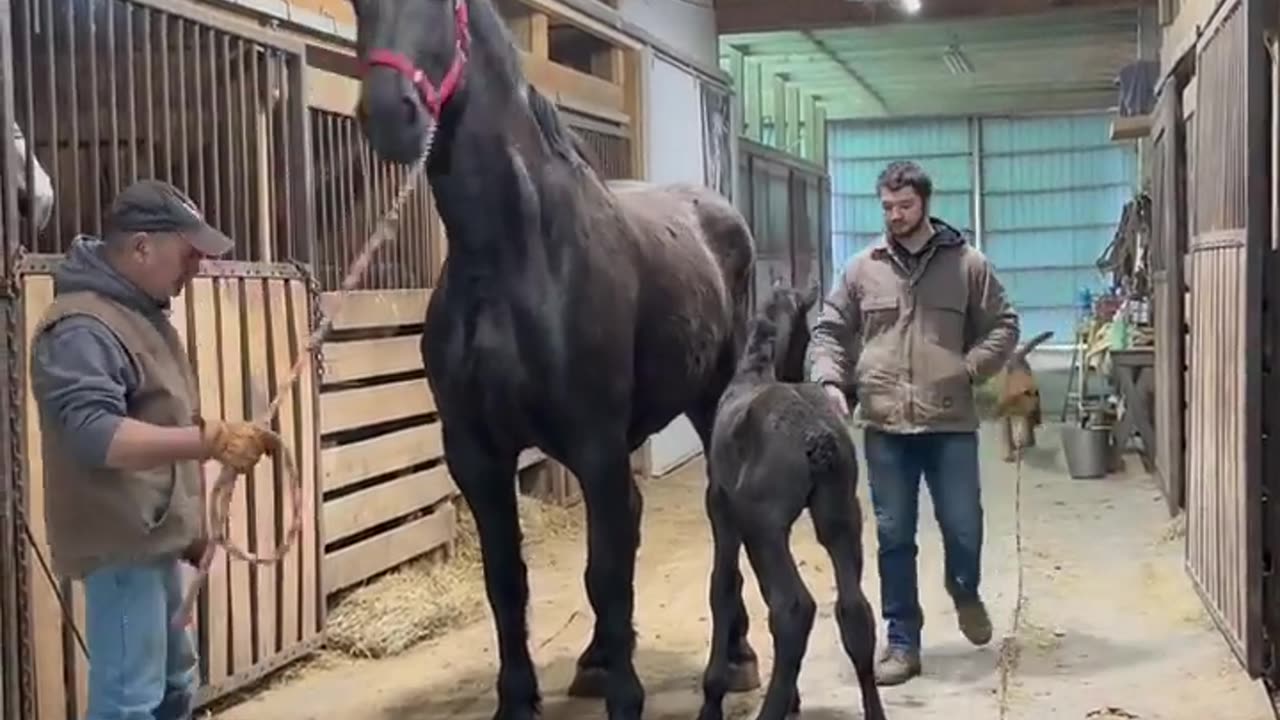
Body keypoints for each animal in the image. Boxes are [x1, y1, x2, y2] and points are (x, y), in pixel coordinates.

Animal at [350, 0, 757, 712]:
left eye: (443, 5)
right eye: (356, 6)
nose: (391, 114)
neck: (512, 257)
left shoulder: (593, 443)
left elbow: (606, 572)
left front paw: (626, 695)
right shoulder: (477, 454)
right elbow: (507, 580)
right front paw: (520, 697)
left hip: (712, 404)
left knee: (718, 514)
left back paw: (736, 655)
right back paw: (597, 658)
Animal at [701, 284, 880, 717]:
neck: (756, 370)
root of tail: (818, 436)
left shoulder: (721, 510)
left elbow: (723, 586)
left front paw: (712, 697)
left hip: (763, 529)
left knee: (792, 609)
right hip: (839, 520)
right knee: (855, 611)